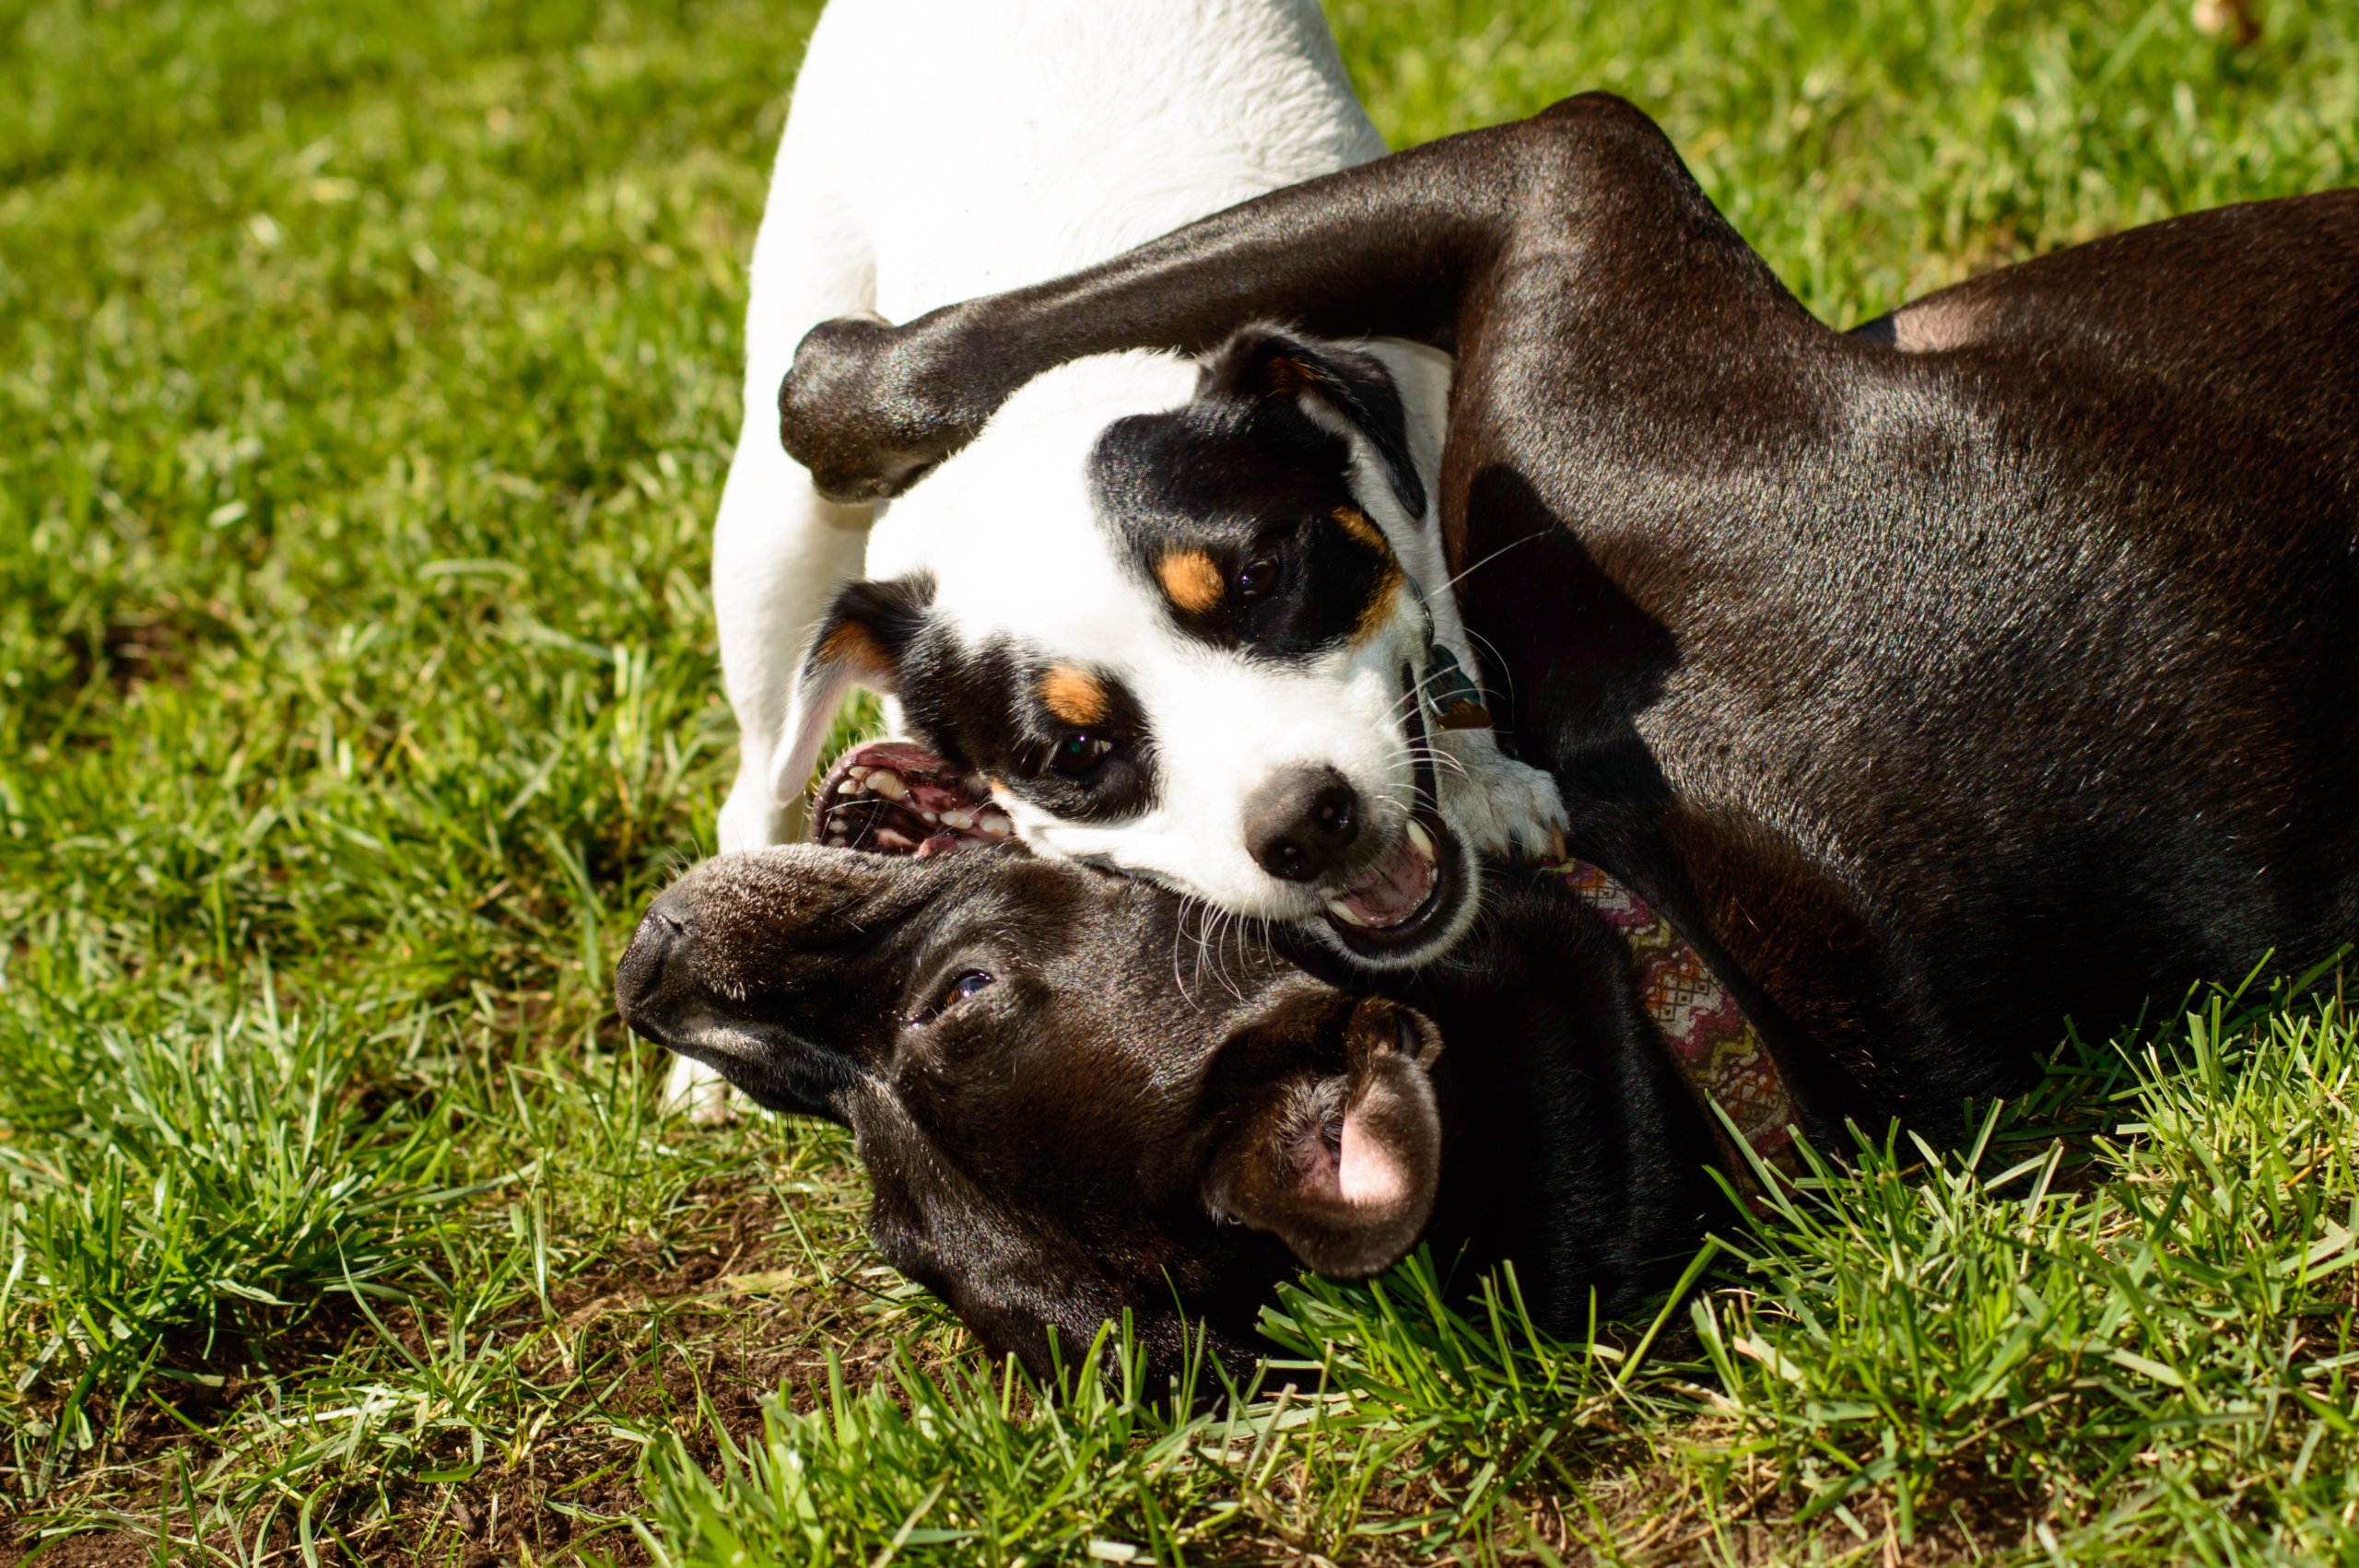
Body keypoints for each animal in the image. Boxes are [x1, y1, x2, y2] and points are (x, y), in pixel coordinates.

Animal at [684, 3, 1566, 1113]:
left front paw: (1481, 769)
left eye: (1261, 579)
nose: (1307, 825)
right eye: (1074, 752)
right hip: (777, 511)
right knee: (758, 777)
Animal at [778, 95, 2359, 1127]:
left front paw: (841, 383)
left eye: (1264, 577)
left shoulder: (1571, 175)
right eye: (1067, 758)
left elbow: (895, 362)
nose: (1308, 824)